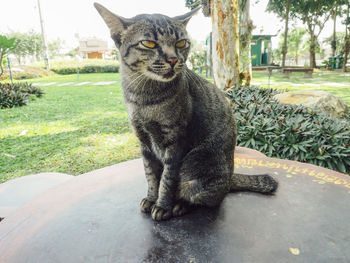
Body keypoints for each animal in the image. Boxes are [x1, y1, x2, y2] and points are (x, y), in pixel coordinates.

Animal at [93, 3, 278, 223]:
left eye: (181, 43)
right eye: (149, 43)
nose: (173, 59)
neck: (144, 97)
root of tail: (230, 177)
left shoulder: (175, 142)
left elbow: (167, 179)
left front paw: (162, 205)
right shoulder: (144, 142)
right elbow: (151, 175)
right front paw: (151, 198)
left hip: (195, 168)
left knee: (209, 198)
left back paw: (181, 205)